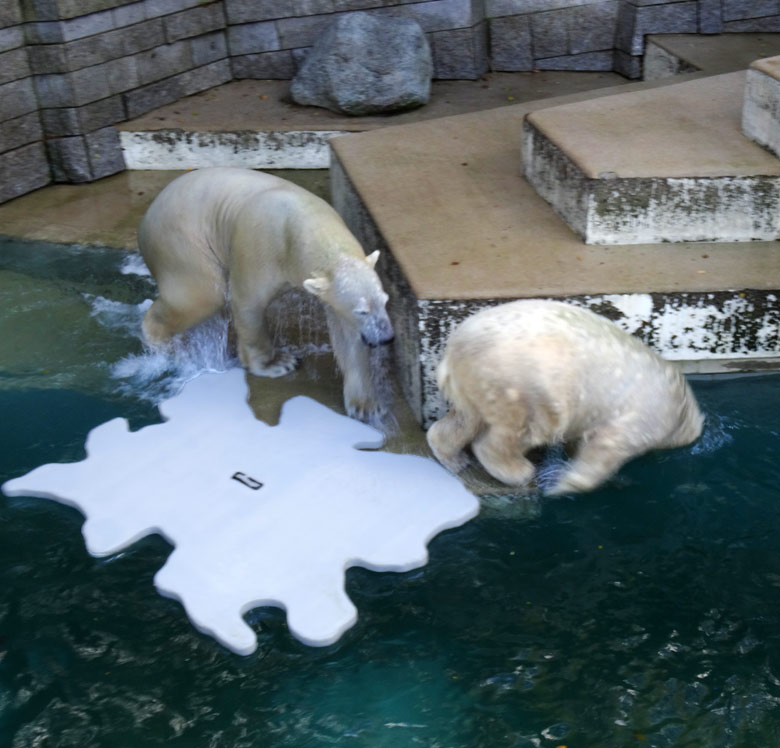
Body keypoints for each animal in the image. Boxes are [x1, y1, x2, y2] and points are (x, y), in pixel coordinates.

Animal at [136, 168, 394, 420]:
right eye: (362, 310)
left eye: (385, 301)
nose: (386, 337)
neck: (301, 222)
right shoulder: (260, 248)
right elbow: (248, 303)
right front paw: (278, 363)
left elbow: (347, 333)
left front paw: (366, 405)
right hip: (181, 243)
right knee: (203, 295)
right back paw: (164, 345)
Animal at [426, 298, 708, 496]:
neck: (682, 407)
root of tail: (454, 351)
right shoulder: (646, 417)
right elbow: (606, 448)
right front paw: (564, 485)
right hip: (519, 380)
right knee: (525, 426)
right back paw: (518, 471)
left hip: (474, 384)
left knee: (467, 418)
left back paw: (454, 458)